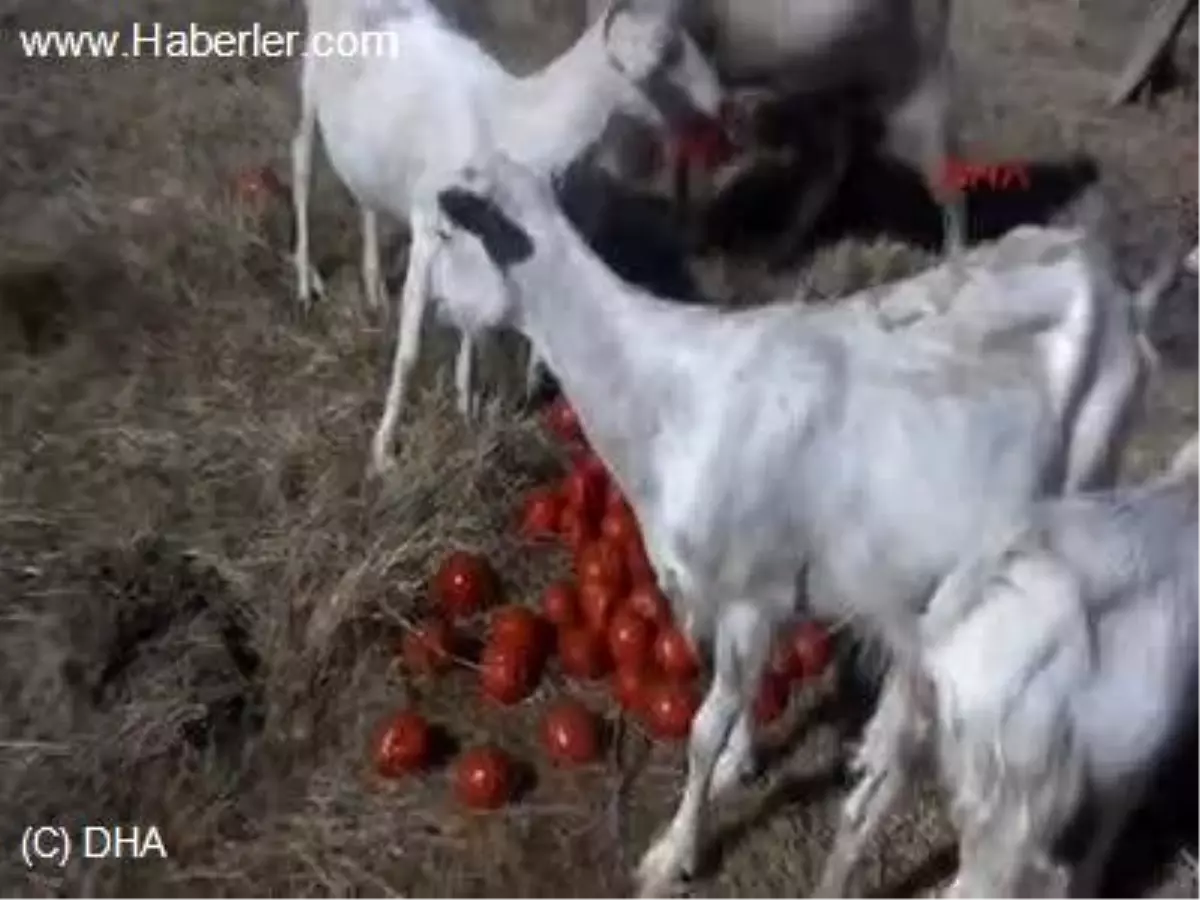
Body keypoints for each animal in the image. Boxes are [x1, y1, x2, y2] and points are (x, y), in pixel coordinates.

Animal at [290, 0, 720, 472]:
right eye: (665, 51)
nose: (720, 103)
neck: (512, 123)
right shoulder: (429, 230)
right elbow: (410, 351)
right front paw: (384, 450)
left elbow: (474, 328)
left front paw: (467, 405)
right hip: (311, 81)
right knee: (302, 164)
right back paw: (306, 284)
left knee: (364, 196)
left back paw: (373, 289)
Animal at [585, 0, 960, 264]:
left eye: (666, 48)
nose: (719, 101)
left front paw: (691, 237)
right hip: (827, 86)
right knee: (830, 160)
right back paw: (780, 249)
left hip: (913, 79)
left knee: (943, 176)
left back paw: (952, 258)